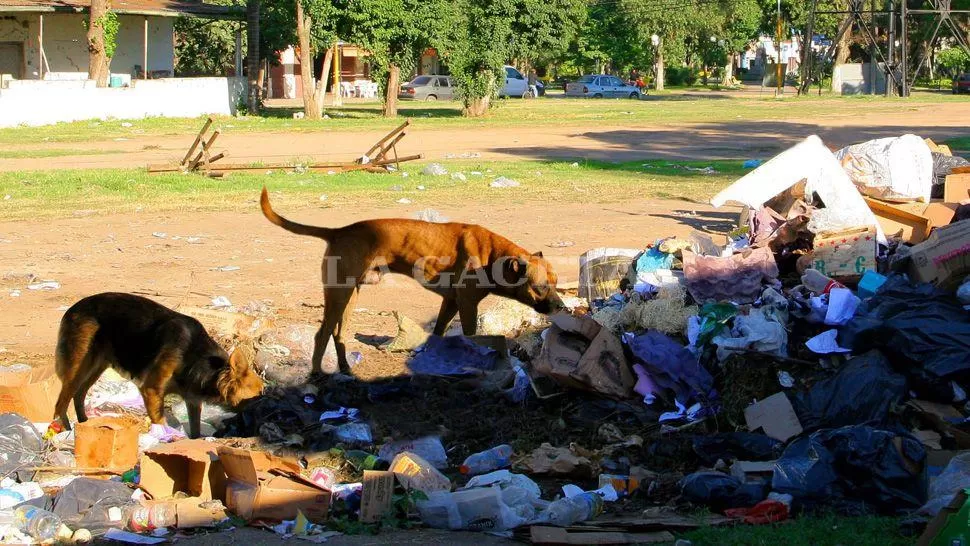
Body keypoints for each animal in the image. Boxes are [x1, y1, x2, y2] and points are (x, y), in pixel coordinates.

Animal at [54, 292, 262, 436]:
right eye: (259, 393)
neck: (195, 357)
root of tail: (72, 308)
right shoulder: (152, 391)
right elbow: (160, 423)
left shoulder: (192, 400)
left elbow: (195, 431)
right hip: (77, 367)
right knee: (61, 403)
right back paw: (65, 431)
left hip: (96, 366)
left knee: (79, 395)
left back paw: (84, 424)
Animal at [260, 187, 564, 374]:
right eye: (540, 287)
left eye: (556, 281)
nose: (562, 307)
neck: (494, 255)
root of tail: (339, 231)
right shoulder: (467, 305)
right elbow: (471, 336)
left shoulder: (450, 303)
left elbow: (439, 332)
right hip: (338, 296)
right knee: (321, 334)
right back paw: (316, 374)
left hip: (349, 297)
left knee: (338, 334)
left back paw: (344, 368)